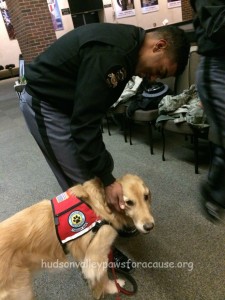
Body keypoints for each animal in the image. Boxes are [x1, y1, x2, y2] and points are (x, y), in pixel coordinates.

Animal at [0, 173, 155, 300]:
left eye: (146, 197)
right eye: (128, 202)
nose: (149, 226)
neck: (98, 204)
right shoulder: (95, 256)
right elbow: (101, 276)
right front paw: (112, 287)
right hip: (22, 291)